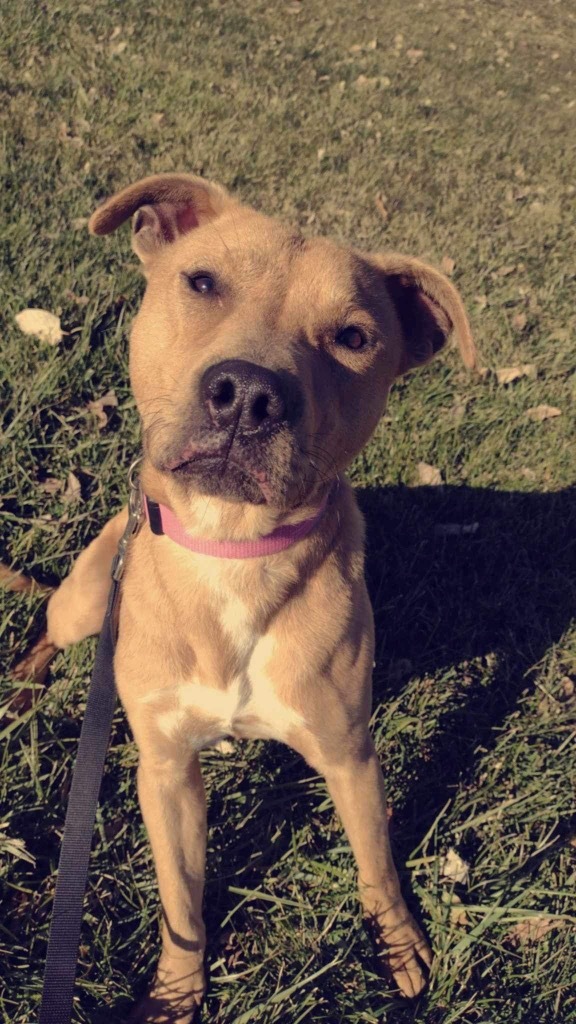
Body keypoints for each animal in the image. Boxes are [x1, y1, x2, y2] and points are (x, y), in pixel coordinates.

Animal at [41, 172, 475, 1019]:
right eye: (202, 282)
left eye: (353, 336)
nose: (247, 394)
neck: (233, 548)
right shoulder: (166, 771)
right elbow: (181, 900)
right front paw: (177, 992)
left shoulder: (349, 753)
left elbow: (377, 863)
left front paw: (399, 946)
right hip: (84, 600)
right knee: (47, 628)